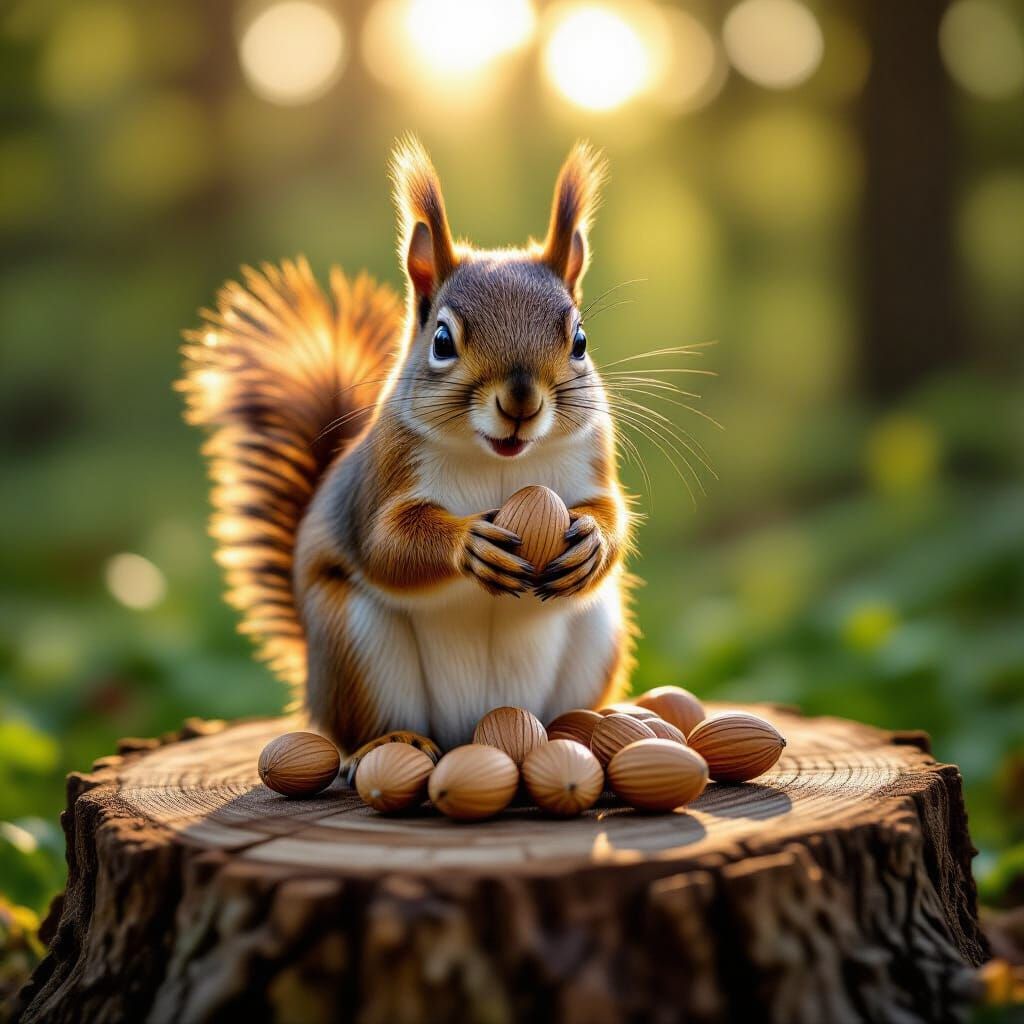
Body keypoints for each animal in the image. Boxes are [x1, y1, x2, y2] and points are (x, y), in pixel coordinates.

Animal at [179, 137, 636, 753]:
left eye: (581, 341)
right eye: (442, 340)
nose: (521, 402)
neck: (500, 460)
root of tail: (473, 727)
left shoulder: (592, 458)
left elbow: (611, 509)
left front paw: (592, 538)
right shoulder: (382, 480)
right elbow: (386, 545)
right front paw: (468, 542)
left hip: (597, 632)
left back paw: (581, 729)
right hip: (355, 645)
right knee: (361, 728)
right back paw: (394, 744)